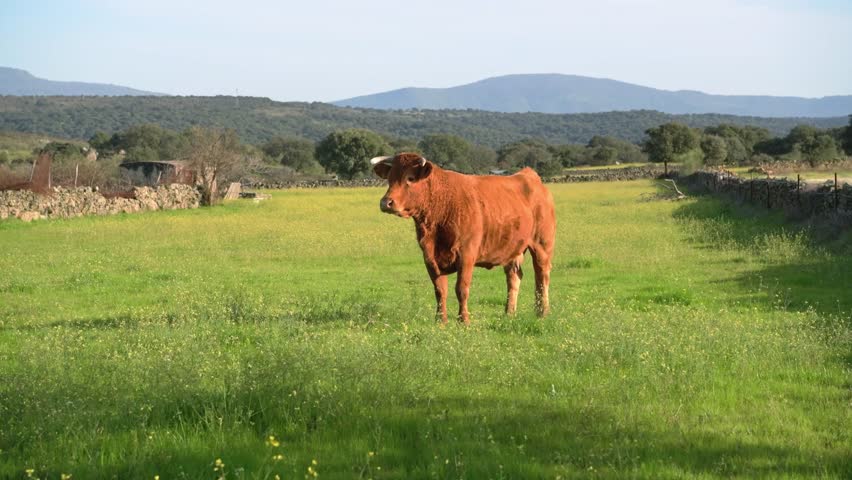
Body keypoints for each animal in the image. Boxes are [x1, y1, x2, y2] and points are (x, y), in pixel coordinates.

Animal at [372, 152, 556, 325]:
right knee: (514, 277)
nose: (386, 202)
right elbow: (440, 290)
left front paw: (464, 320)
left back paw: (542, 312)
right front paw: (441, 320)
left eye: (410, 178)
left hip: (542, 246)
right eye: (390, 178)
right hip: (513, 249)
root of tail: (529, 175)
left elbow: (461, 288)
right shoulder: (429, 257)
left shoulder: (467, 254)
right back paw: (509, 313)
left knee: (542, 277)